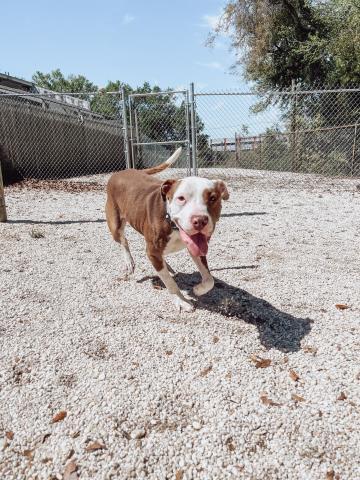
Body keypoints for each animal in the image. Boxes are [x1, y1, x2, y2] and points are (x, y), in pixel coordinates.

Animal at [105, 146, 228, 312]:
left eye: (213, 198)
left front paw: (198, 289)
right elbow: (170, 283)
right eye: (181, 198)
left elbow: (209, 279)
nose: (200, 221)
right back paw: (129, 262)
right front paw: (181, 300)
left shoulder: (196, 247)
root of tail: (122, 171)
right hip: (115, 224)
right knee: (123, 241)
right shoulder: (152, 251)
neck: (173, 225)